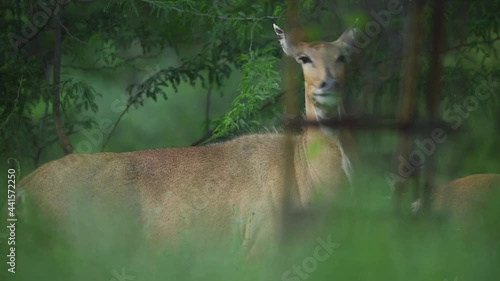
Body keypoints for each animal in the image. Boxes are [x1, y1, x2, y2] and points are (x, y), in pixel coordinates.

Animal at [17, 23, 356, 252]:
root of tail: (22, 188)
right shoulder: (259, 242)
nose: (327, 84)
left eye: (342, 57)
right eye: (303, 58)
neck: (304, 176)